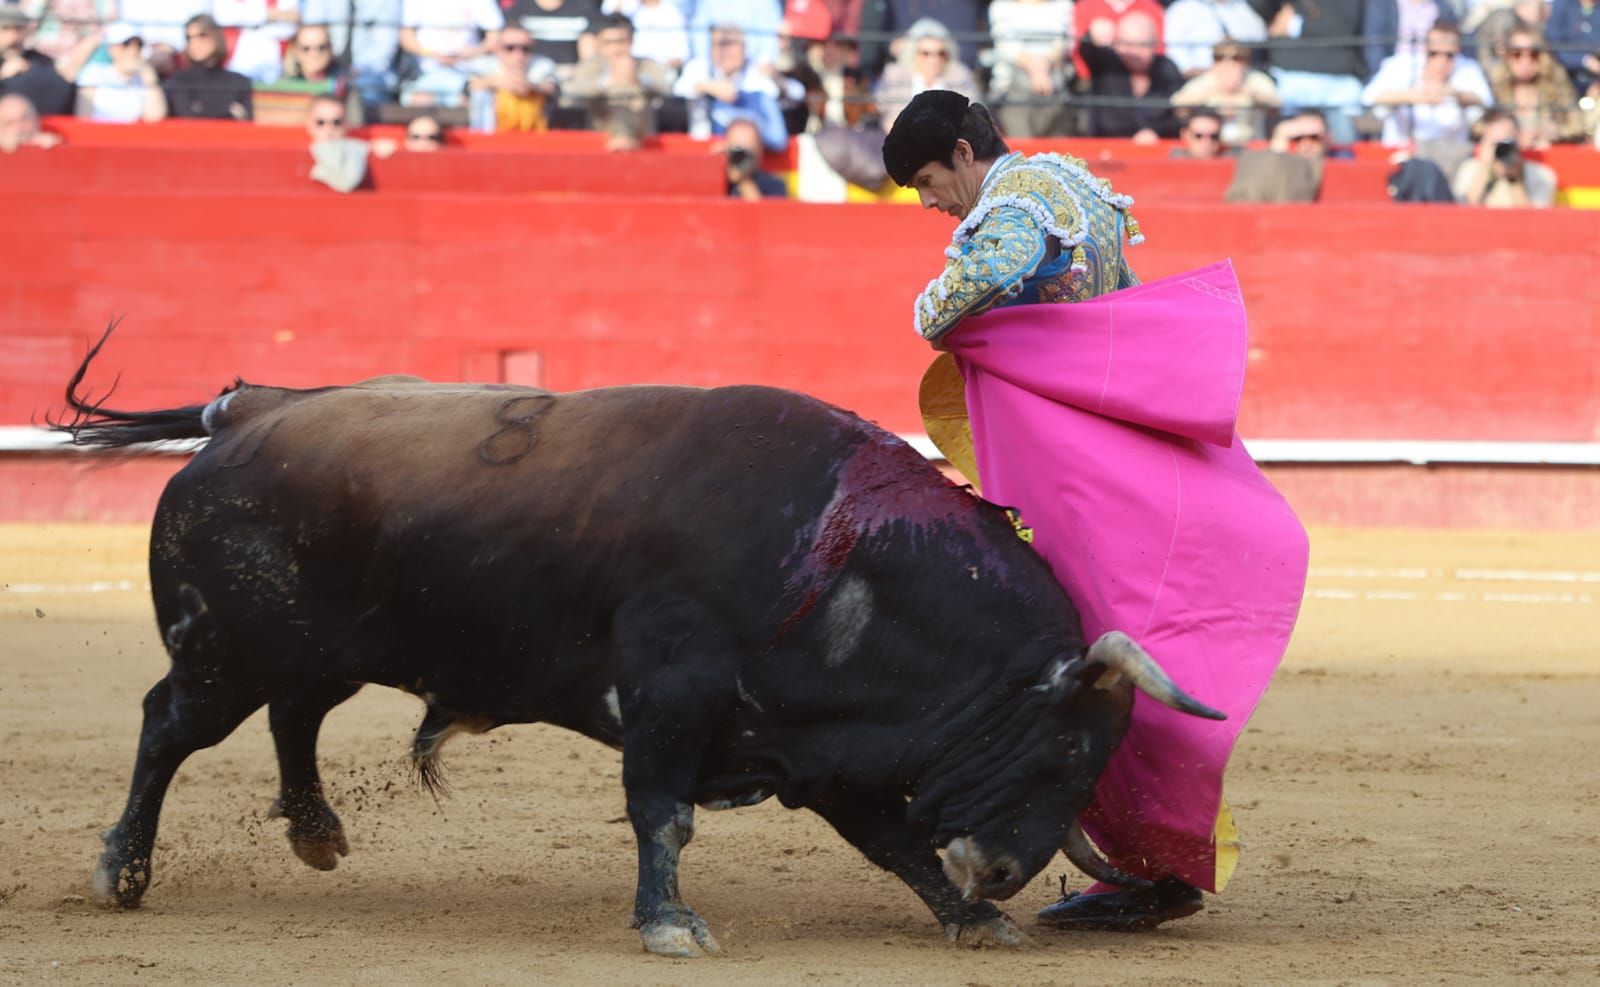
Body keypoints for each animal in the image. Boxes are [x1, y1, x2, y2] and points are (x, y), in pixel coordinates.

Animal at [56, 332, 1216, 953]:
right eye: (1068, 750)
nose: (1009, 872)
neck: (834, 552)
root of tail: (247, 413)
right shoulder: (673, 694)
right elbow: (663, 813)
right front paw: (669, 924)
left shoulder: (823, 747)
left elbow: (893, 840)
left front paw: (973, 924)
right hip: (224, 649)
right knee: (168, 729)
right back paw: (122, 872)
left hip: (313, 648)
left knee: (293, 719)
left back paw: (315, 833)